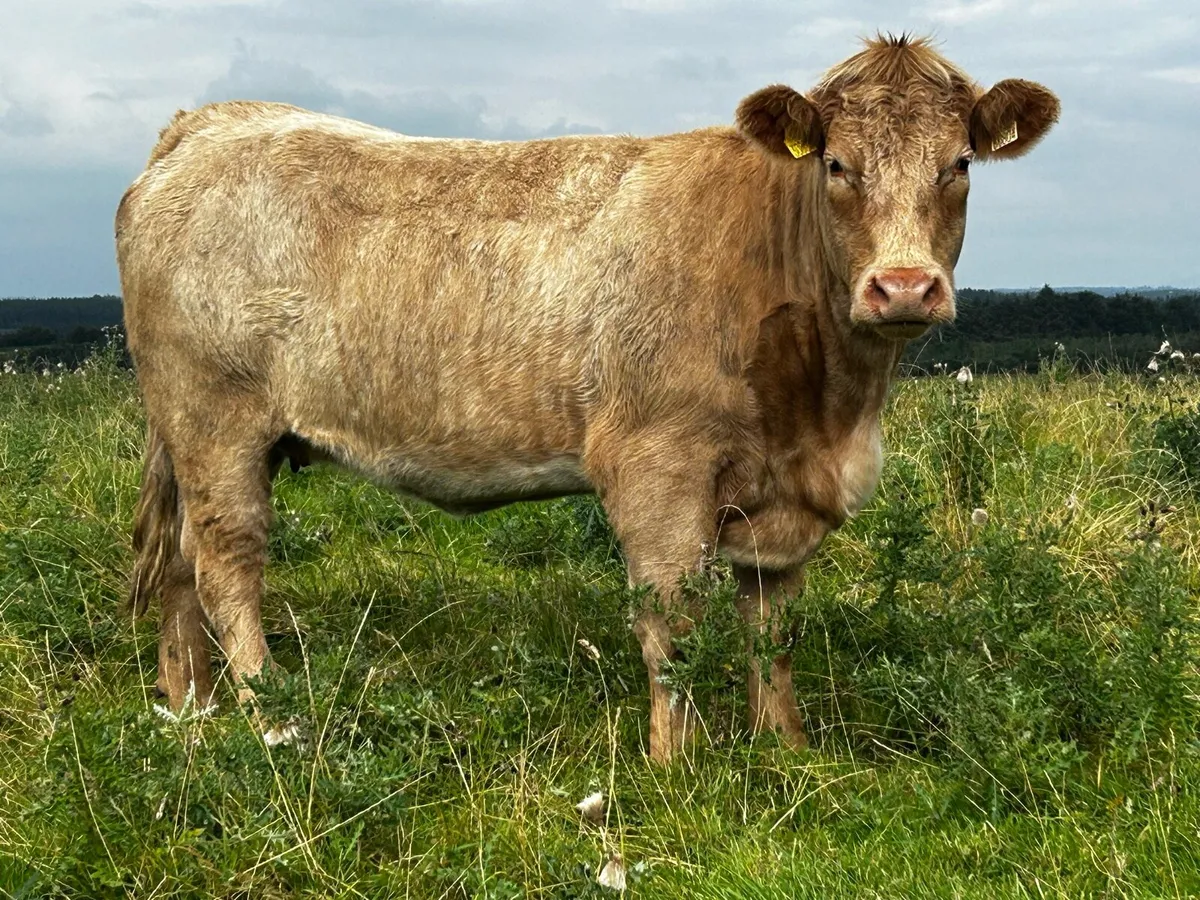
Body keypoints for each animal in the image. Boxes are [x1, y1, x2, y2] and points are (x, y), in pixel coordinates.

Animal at [117, 34, 1058, 763]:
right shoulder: (658, 464)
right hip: (216, 420)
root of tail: (213, 122)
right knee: (225, 563)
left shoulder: (785, 495)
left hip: (190, 432)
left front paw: (786, 748)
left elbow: (773, 627)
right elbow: (671, 618)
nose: (903, 287)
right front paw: (676, 765)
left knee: (177, 568)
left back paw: (189, 712)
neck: (828, 412)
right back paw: (269, 717)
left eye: (959, 164)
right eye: (836, 163)